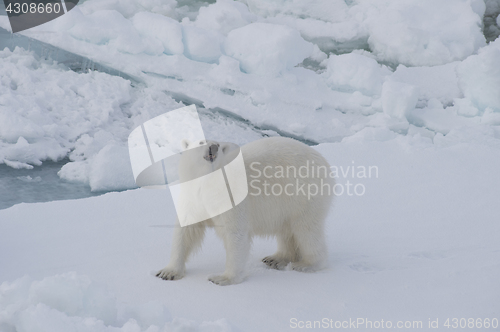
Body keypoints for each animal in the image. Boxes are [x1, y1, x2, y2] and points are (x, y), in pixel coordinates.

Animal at [158, 136, 334, 284]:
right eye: (201, 142)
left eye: (219, 145)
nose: (213, 147)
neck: (209, 182)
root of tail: (326, 164)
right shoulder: (193, 198)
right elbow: (186, 231)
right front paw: (168, 272)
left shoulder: (231, 196)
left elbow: (235, 233)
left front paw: (223, 278)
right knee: (286, 231)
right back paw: (276, 259)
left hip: (304, 196)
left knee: (306, 230)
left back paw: (306, 264)